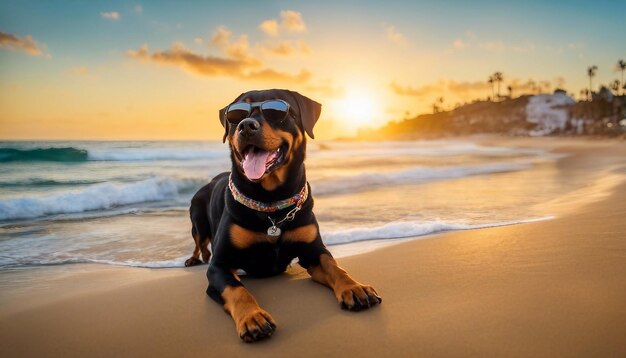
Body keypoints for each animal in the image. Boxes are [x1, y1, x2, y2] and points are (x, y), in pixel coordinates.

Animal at [185, 89, 380, 342]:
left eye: (277, 111)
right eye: (235, 114)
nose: (246, 126)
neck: (272, 203)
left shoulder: (313, 250)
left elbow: (333, 265)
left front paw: (354, 287)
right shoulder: (221, 264)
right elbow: (237, 289)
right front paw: (252, 317)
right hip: (197, 217)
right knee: (200, 242)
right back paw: (193, 259)